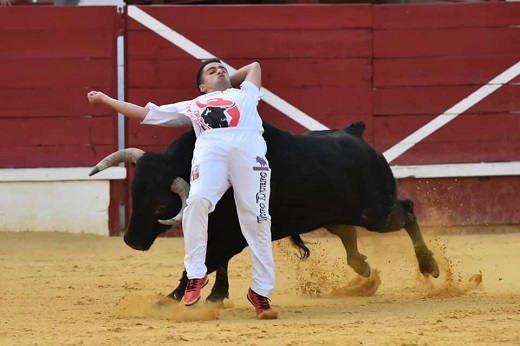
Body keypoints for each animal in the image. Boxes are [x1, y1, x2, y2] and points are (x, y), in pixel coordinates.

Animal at [89, 121, 438, 302]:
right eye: (135, 195)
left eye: (161, 206)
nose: (132, 240)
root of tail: (356, 134)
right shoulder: (218, 230)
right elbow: (216, 261)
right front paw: (216, 295)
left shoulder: (234, 234)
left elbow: (208, 261)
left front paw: (174, 298)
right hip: (334, 212)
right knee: (348, 235)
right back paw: (365, 271)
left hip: (376, 212)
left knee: (407, 212)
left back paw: (430, 265)